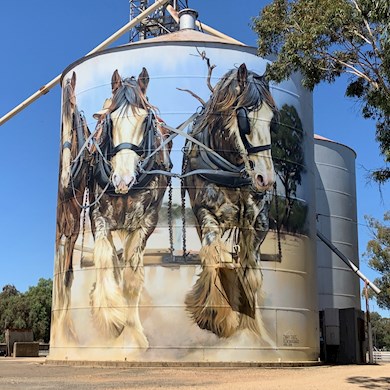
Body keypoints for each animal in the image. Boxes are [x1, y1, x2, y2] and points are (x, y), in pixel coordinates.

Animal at [90, 68, 172, 348]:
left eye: (145, 119)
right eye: (109, 120)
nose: (123, 179)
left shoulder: (147, 221)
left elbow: (132, 277)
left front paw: (135, 333)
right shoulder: (98, 216)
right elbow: (105, 261)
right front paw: (111, 317)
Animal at [183, 63, 278, 338]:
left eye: (273, 119)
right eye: (244, 118)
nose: (266, 179)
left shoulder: (258, 221)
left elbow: (251, 272)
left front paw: (253, 324)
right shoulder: (206, 213)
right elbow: (215, 256)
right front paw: (216, 316)